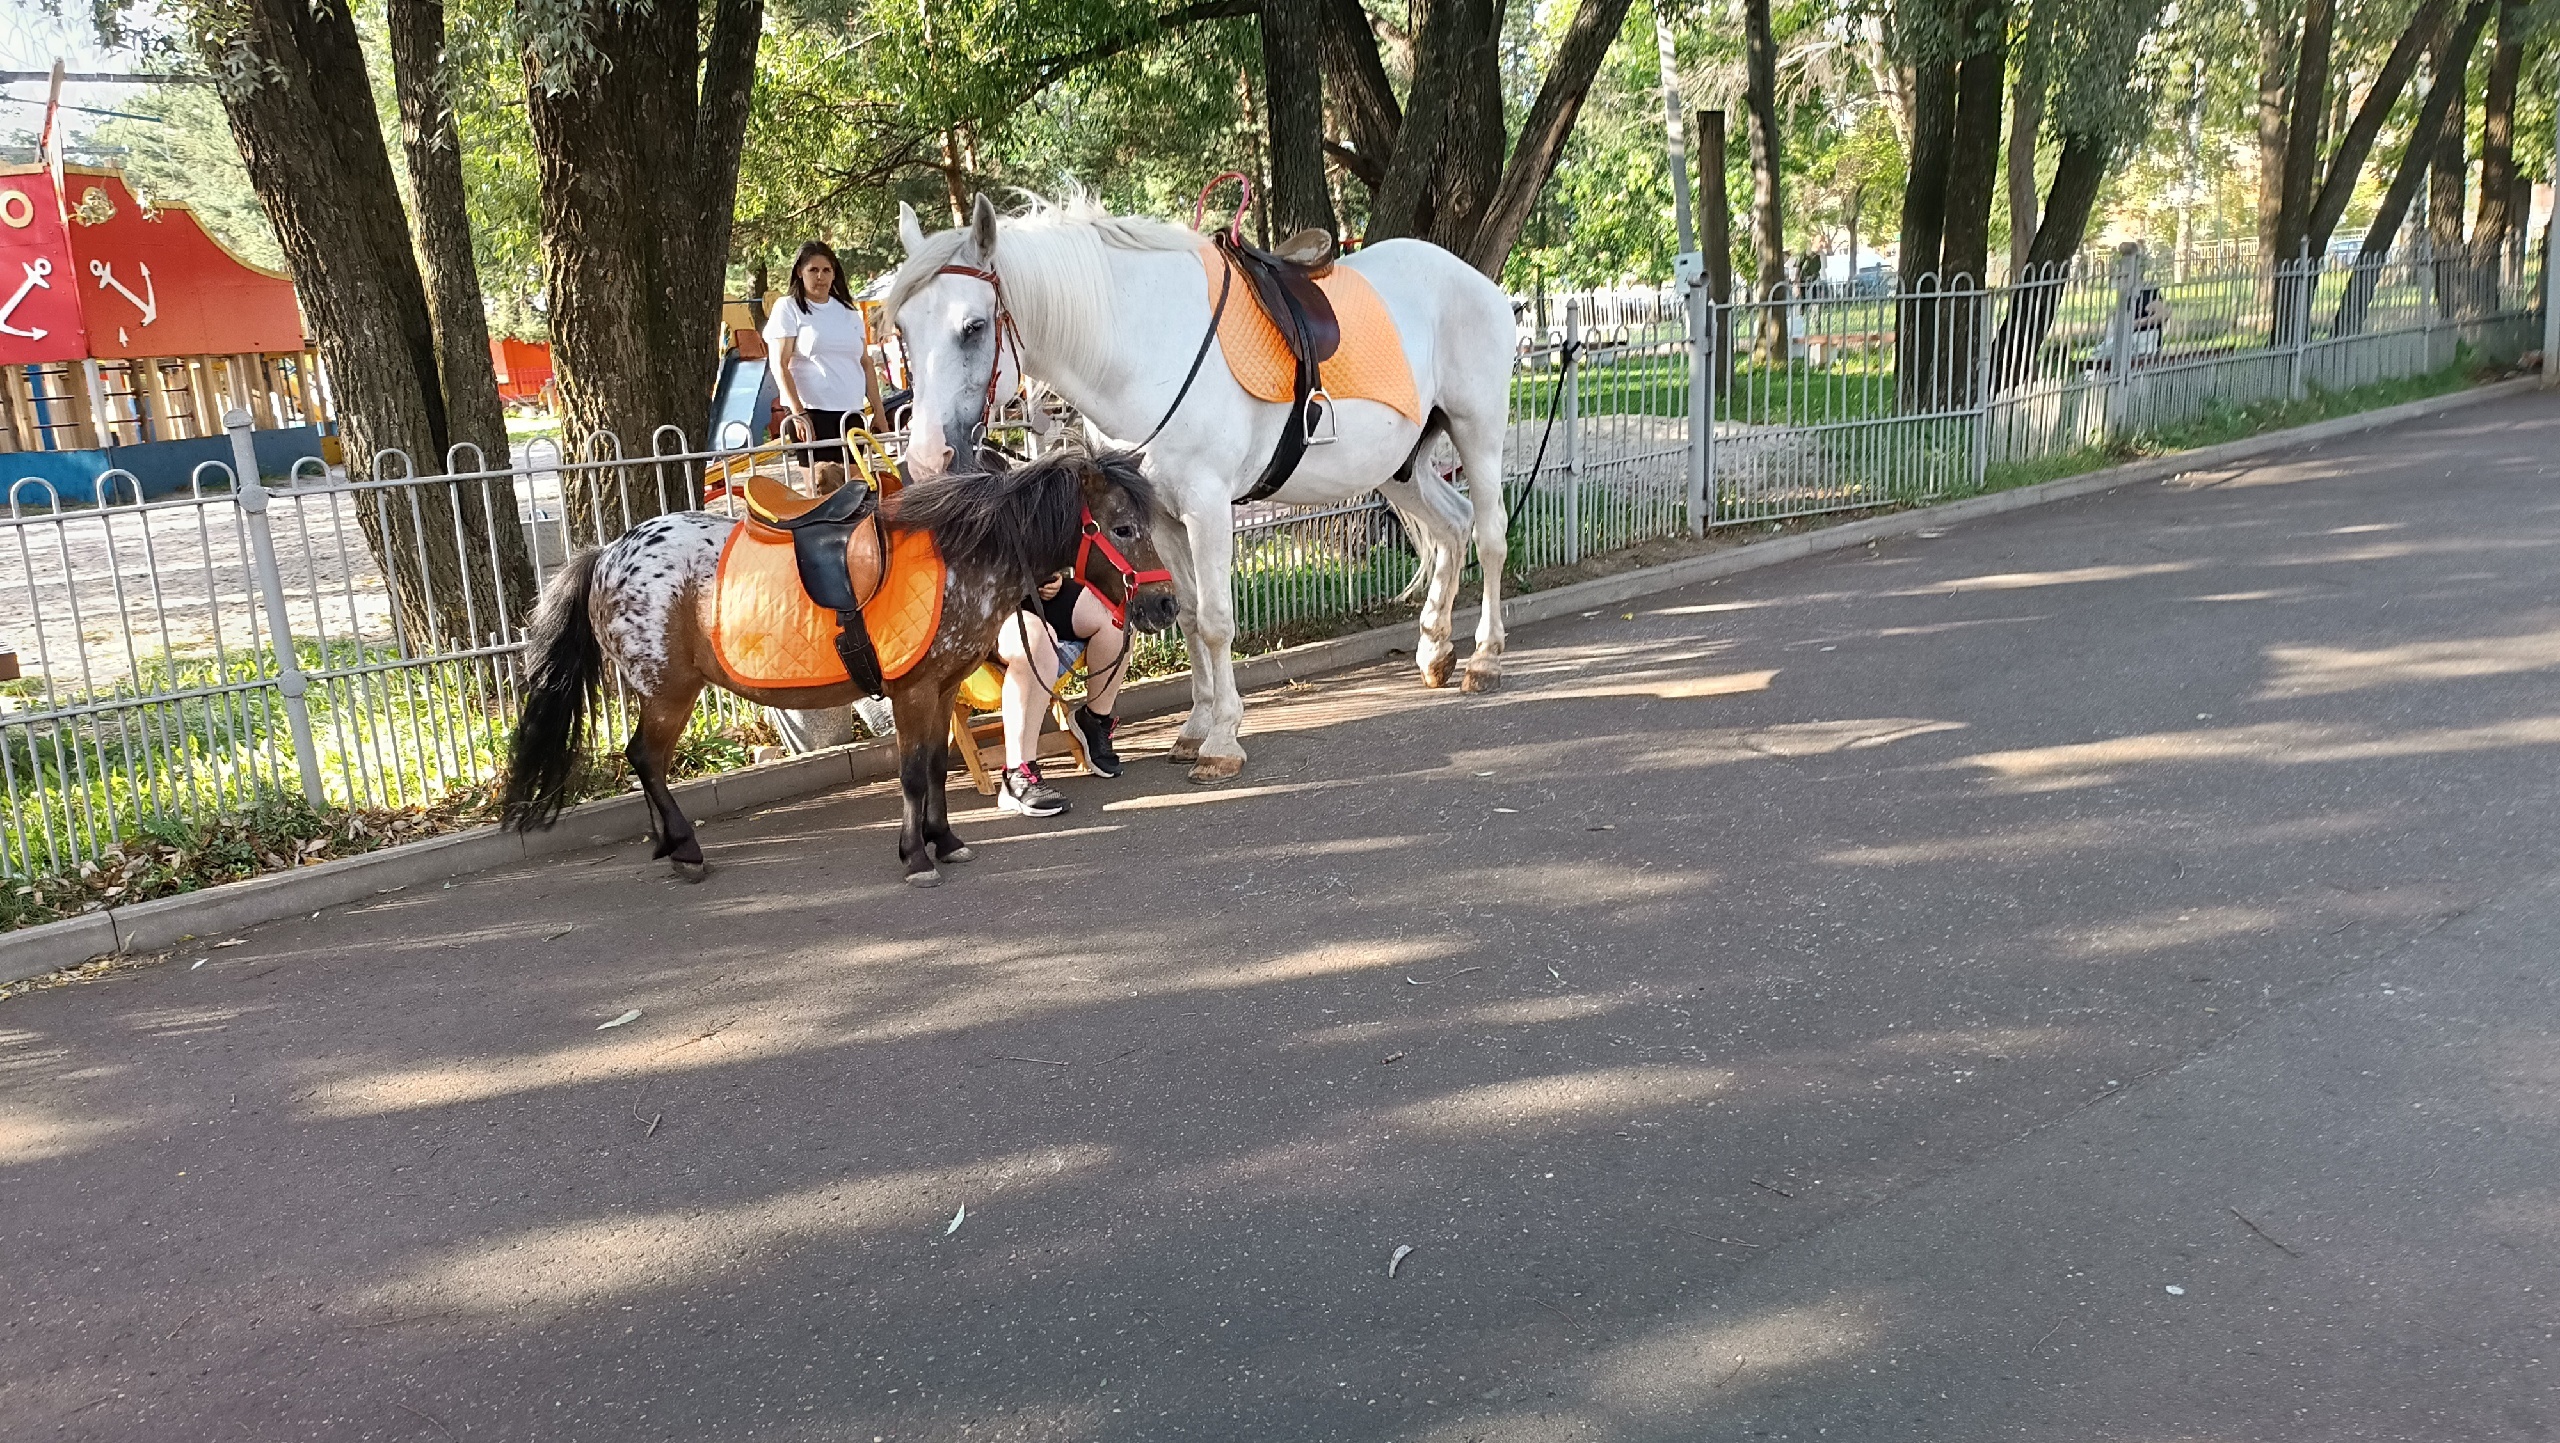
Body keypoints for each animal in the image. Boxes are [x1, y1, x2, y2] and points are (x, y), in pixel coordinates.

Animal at [496, 447, 1177, 880]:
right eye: (1122, 527)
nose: (1166, 604)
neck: (961, 554)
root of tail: (609, 552)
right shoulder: (912, 691)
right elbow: (912, 774)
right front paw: (916, 857)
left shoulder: (941, 689)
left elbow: (936, 768)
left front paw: (945, 841)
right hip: (669, 691)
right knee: (645, 758)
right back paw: (684, 847)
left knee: (647, 762)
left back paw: (667, 844)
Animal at [890, 195, 1515, 782]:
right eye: (901, 330)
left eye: (973, 327)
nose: (925, 456)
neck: (1148, 352)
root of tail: (1484, 287)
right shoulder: (1162, 519)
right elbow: (1188, 617)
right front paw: (1195, 727)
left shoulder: (1208, 507)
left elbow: (1216, 622)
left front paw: (1222, 739)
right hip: (1400, 466)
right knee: (1452, 526)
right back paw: (1435, 649)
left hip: (1478, 430)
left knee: (1489, 537)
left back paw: (1485, 659)